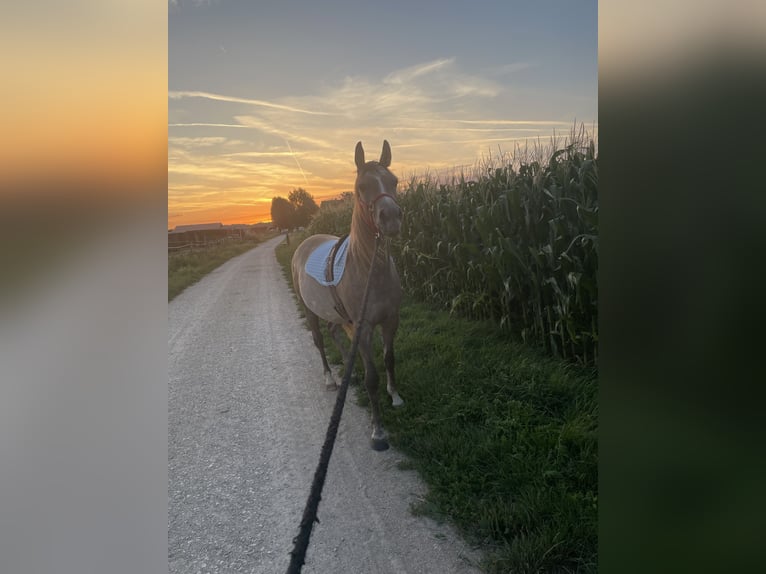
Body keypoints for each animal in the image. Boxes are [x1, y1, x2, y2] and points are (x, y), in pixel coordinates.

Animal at [292, 141, 404, 454]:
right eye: (361, 186)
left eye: (394, 181)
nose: (391, 218)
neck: (369, 270)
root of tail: (305, 241)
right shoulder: (363, 328)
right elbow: (372, 378)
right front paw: (378, 432)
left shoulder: (390, 321)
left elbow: (389, 359)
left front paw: (395, 395)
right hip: (310, 312)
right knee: (320, 341)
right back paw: (331, 379)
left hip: (334, 312)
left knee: (334, 331)